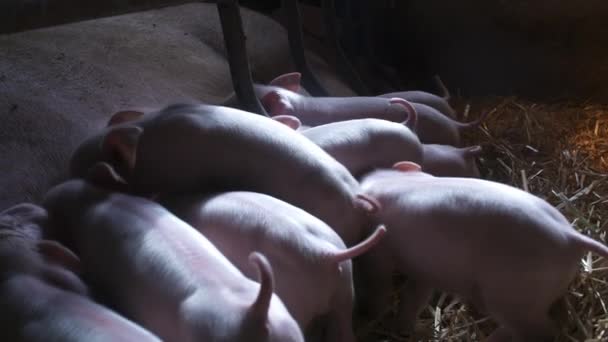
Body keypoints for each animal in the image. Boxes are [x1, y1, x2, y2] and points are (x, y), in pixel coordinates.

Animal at [356, 164, 608, 342]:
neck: (393, 182)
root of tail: (570, 236)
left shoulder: (381, 252)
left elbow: (379, 283)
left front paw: (375, 316)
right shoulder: (424, 271)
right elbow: (414, 296)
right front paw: (405, 328)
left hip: (513, 296)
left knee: (542, 331)